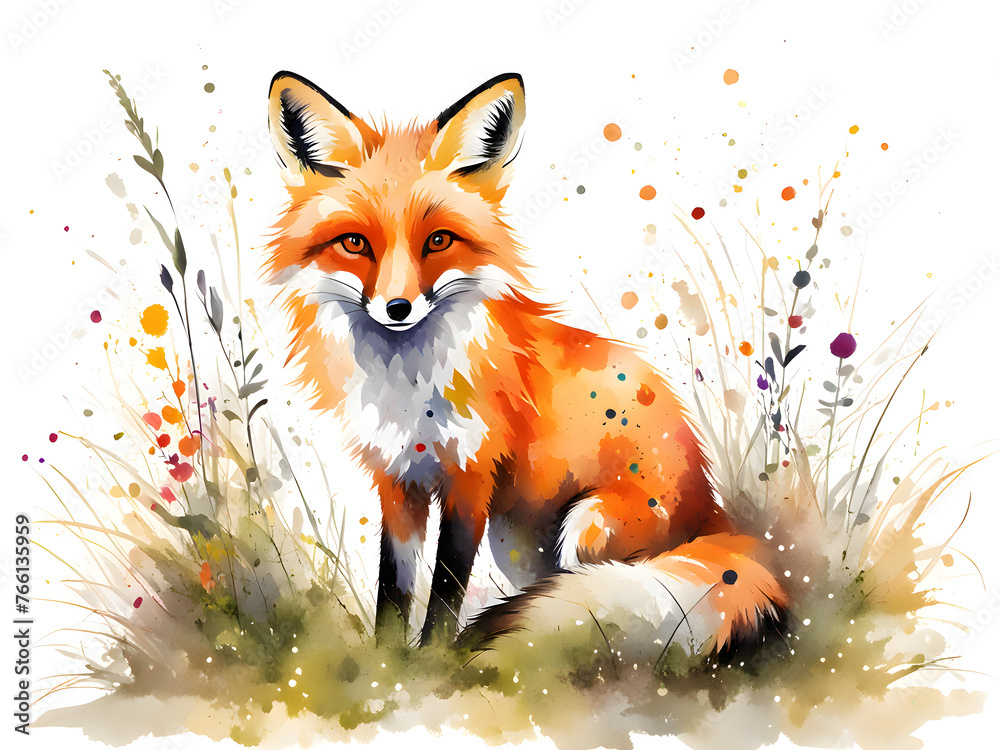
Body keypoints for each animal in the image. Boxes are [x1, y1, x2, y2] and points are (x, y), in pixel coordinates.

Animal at [264, 71, 788, 658]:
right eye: (354, 243)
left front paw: (433, 661)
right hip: (515, 543)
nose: (397, 308)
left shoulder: (472, 477)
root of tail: (715, 521)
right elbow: (393, 591)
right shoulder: (397, 481)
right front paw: (387, 664)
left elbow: (445, 587)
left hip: (588, 529)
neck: (409, 382)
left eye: (438, 240)